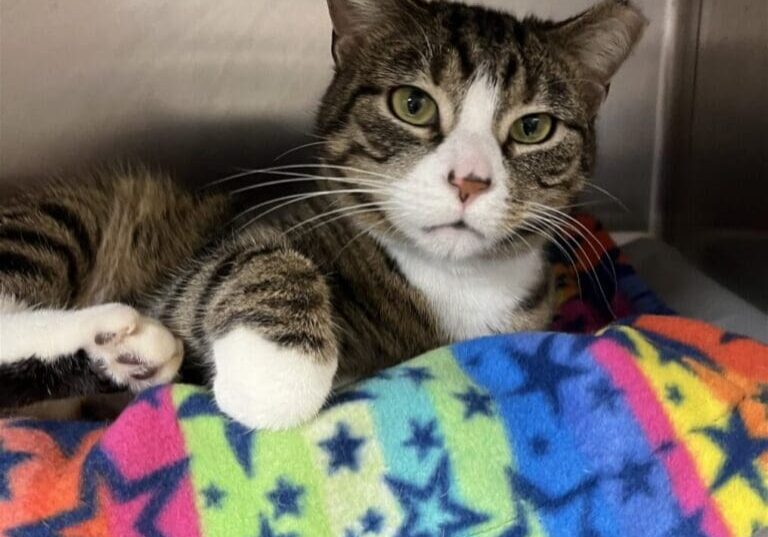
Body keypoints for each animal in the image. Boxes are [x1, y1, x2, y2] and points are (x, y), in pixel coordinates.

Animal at [0, 0, 644, 428]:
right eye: (413, 104)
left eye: (534, 128)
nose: (470, 179)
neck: (454, 282)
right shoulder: (234, 240)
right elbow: (244, 263)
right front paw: (276, 375)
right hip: (67, 216)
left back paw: (121, 354)